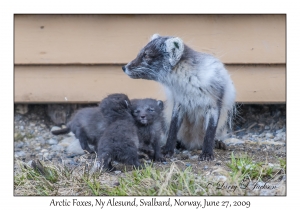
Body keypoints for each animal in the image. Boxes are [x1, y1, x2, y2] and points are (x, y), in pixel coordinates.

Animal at [120, 33, 236, 161]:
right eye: (140, 53)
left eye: (147, 55)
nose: (123, 67)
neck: (189, 85)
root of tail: (193, 144)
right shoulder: (179, 104)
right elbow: (173, 129)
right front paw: (168, 150)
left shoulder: (214, 105)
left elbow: (210, 133)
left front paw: (207, 153)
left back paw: (218, 143)